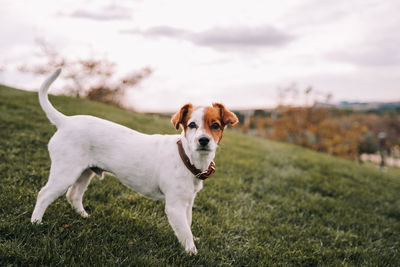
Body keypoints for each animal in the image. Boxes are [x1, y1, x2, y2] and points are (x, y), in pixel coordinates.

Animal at [32, 68, 238, 254]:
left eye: (215, 126)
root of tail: (65, 121)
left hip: (85, 171)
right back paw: (36, 222)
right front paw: (192, 251)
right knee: (44, 194)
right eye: (192, 125)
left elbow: (188, 225)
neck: (186, 156)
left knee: (73, 195)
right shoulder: (175, 206)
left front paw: (193, 240)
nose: (203, 140)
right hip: (65, 172)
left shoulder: (187, 202)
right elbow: (185, 232)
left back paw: (83, 215)